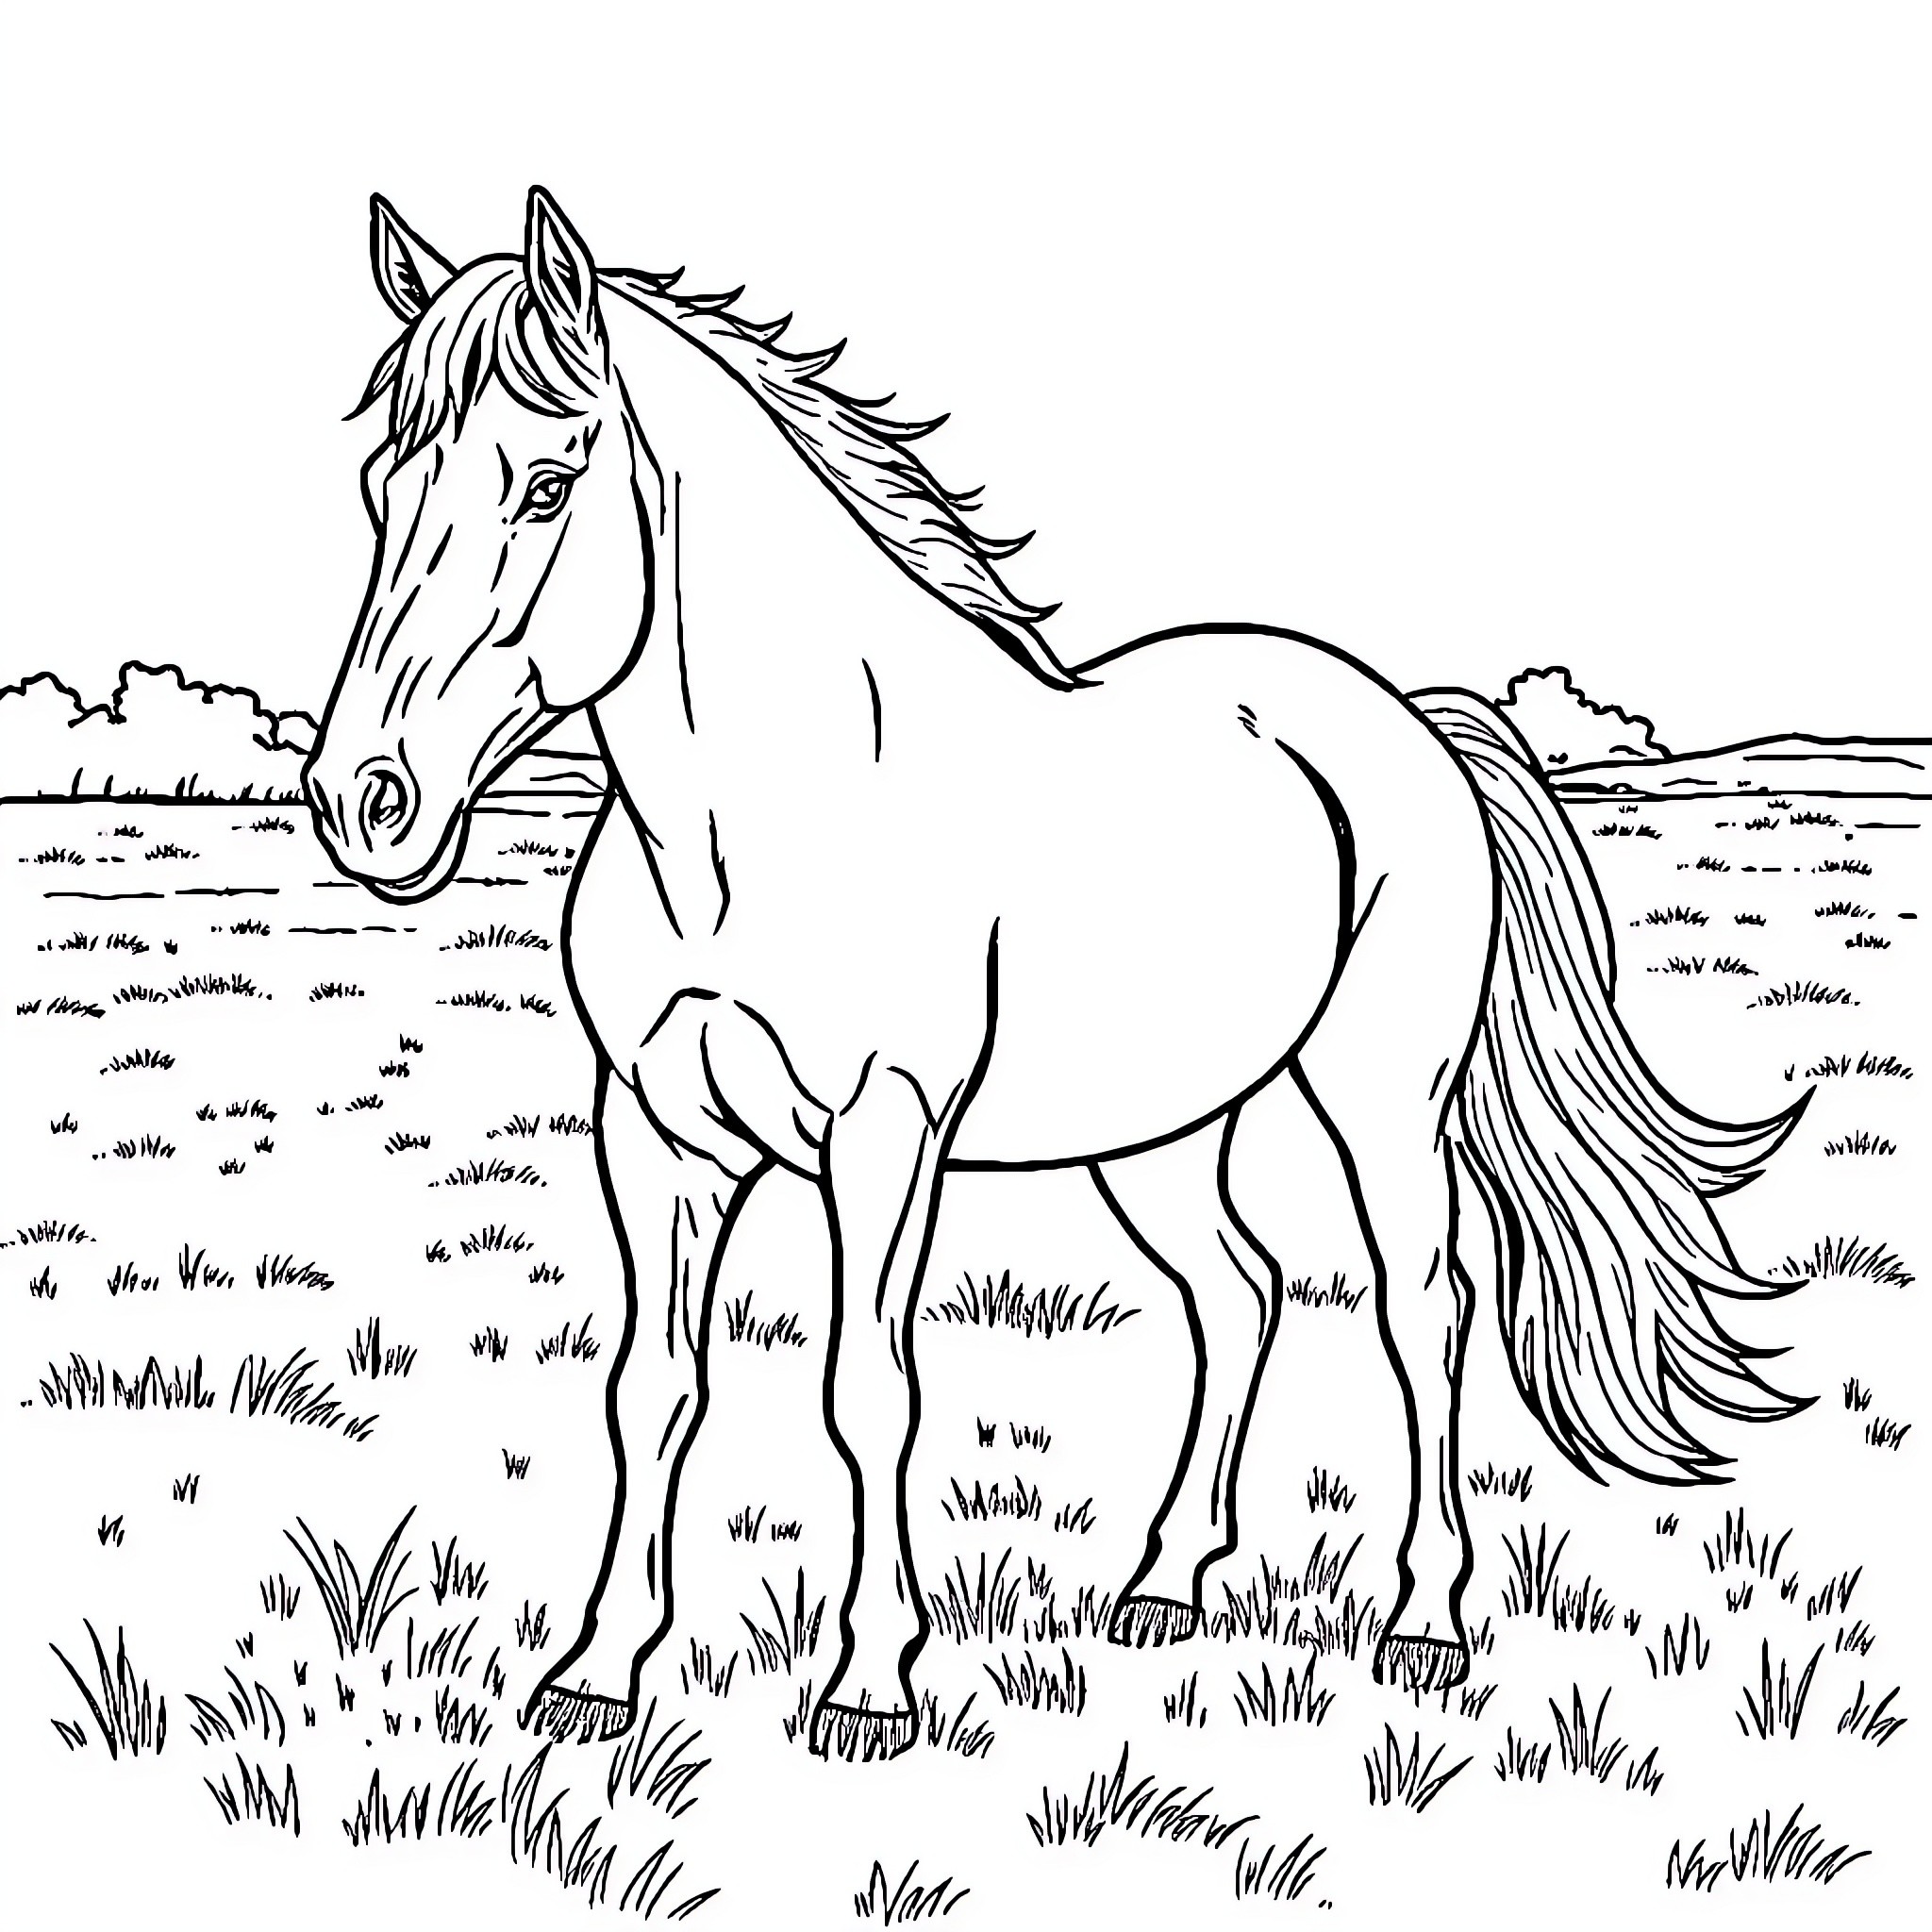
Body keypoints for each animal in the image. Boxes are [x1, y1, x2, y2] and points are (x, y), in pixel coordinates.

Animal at [304, 187, 1809, 1762]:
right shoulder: (653, 1135)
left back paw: (1425, 1620)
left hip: (1382, 1097)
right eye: (379, 487)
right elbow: (651, 1389)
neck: (750, 823)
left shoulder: (883, 1131)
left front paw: (870, 1685)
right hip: (1160, 1131)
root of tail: (1406, 716)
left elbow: (869, 1390)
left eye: (544, 486)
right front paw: (598, 1673)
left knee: (1422, 1307)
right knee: (1241, 1295)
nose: (363, 800)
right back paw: (1163, 1588)